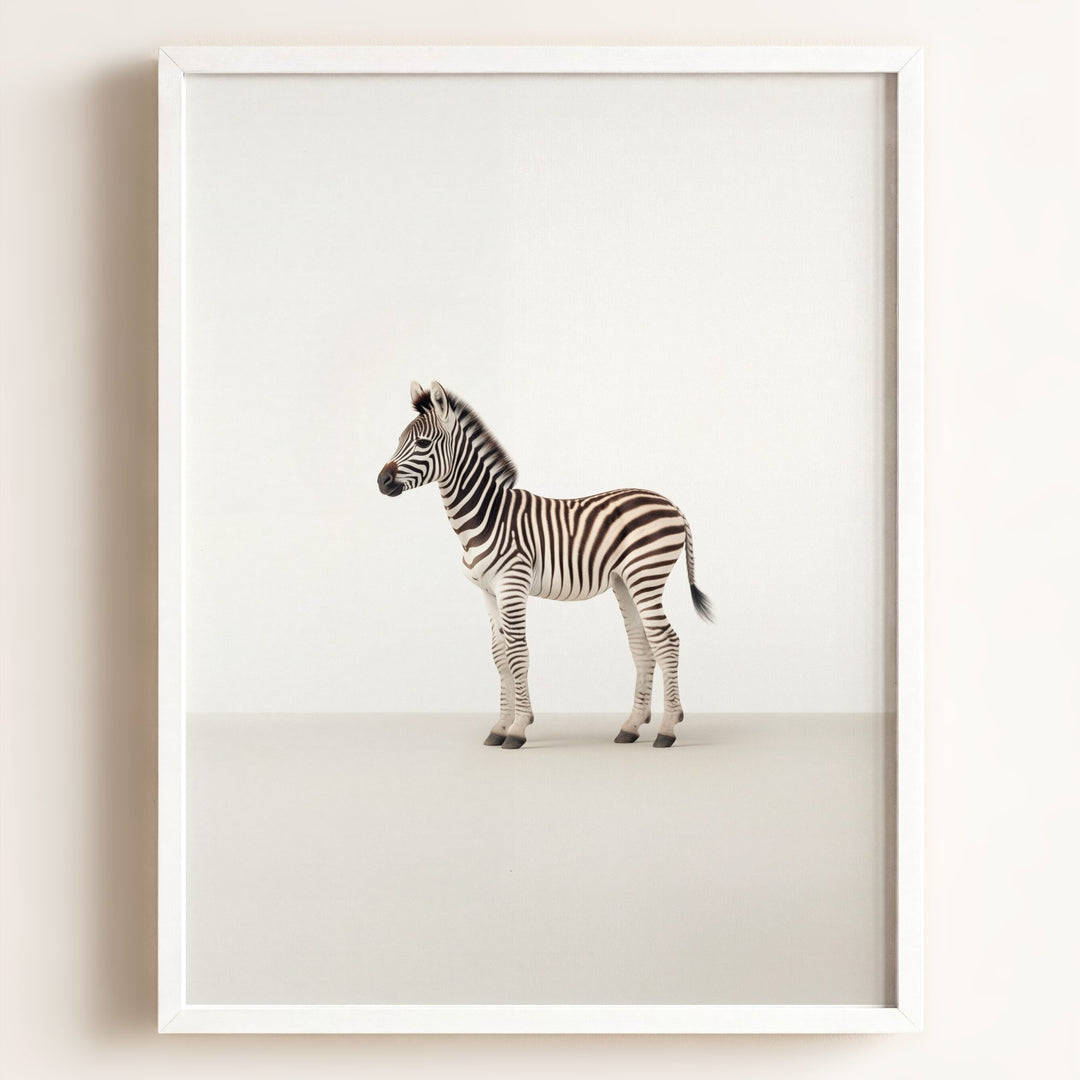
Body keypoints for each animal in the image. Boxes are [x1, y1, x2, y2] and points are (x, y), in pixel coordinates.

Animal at [377, 381, 713, 749]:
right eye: (398, 440)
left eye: (422, 443)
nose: (381, 481)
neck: (486, 516)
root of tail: (672, 504)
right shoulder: (487, 592)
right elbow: (499, 655)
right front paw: (499, 726)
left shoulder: (512, 584)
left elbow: (517, 652)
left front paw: (518, 728)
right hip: (625, 581)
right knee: (642, 645)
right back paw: (631, 726)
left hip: (646, 575)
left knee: (667, 641)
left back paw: (667, 729)